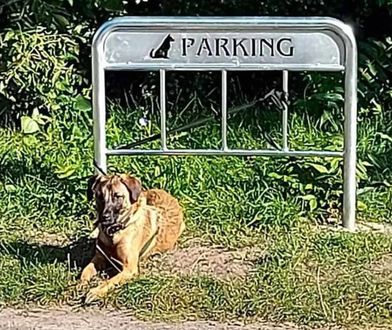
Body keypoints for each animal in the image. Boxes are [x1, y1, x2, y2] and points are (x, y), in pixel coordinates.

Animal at [80, 173, 185, 302]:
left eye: (117, 196)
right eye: (99, 196)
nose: (104, 217)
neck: (114, 233)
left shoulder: (129, 268)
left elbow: (110, 281)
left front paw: (96, 291)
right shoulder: (99, 257)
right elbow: (85, 271)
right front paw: (80, 284)